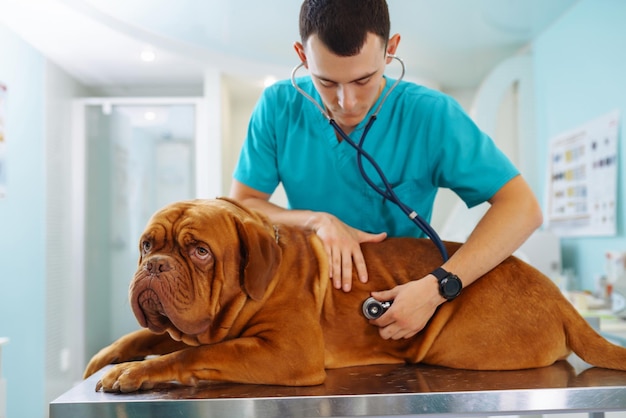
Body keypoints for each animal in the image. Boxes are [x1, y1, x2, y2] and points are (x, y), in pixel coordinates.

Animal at [84, 198, 624, 390]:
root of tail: (561, 300)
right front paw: (106, 358)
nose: (154, 266)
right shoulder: (195, 330)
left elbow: (192, 353)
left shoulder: (286, 351)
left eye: (199, 252)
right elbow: (147, 338)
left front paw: (137, 372)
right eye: (147, 245)